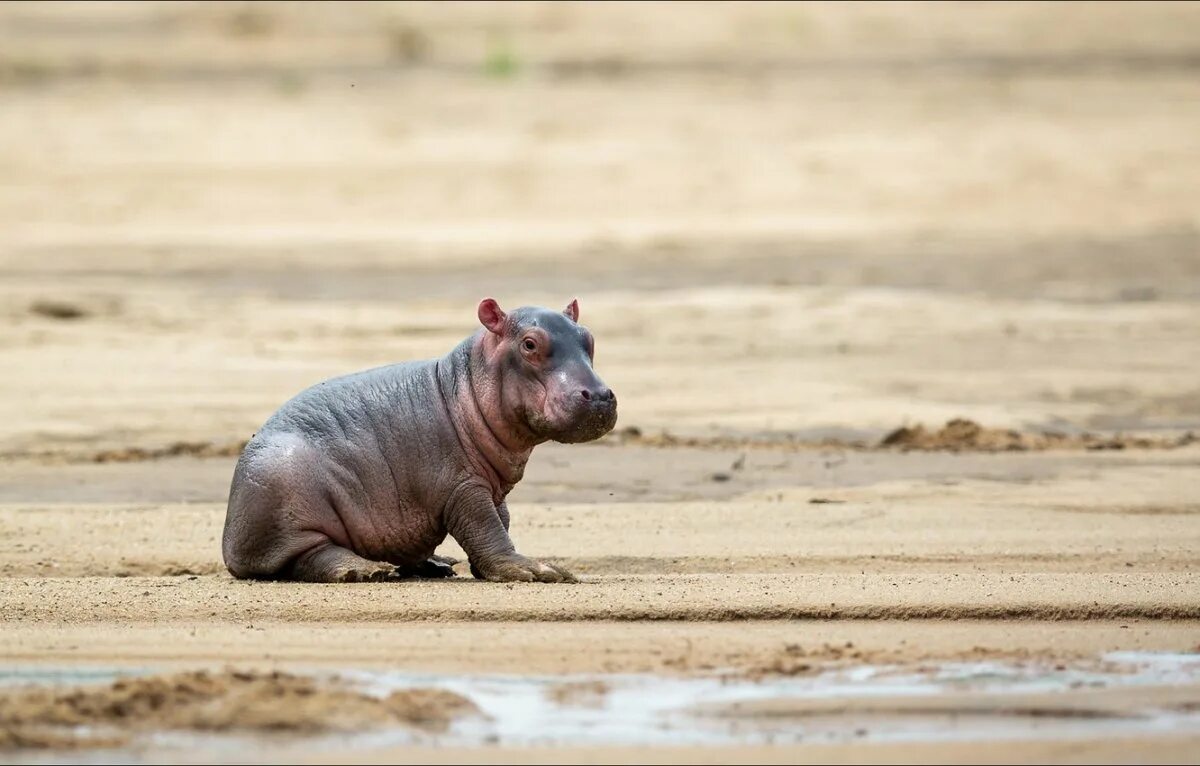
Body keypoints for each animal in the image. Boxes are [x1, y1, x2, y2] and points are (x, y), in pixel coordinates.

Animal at [222, 298, 619, 581]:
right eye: (530, 344)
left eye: (589, 338)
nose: (599, 396)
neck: (464, 384)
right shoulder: (463, 487)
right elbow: (486, 526)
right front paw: (537, 570)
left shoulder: (492, 487)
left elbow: (500, 520)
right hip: (284, 495)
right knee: (308, 556)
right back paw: (365, 571)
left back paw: (435, 565)